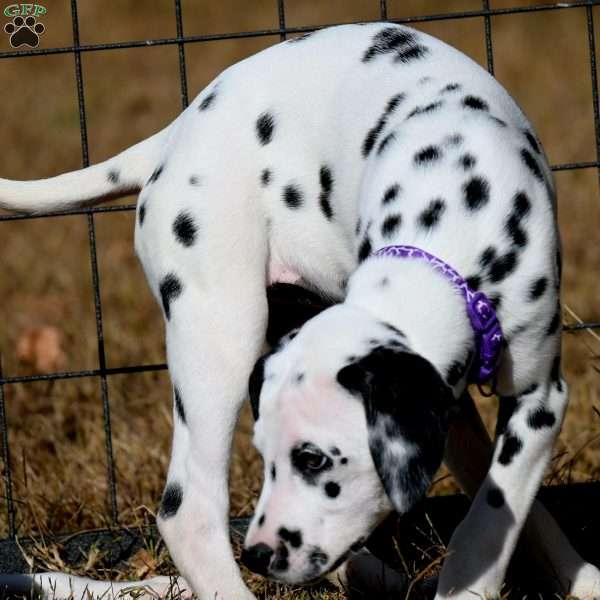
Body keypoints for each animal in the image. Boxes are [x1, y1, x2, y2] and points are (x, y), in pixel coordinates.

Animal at [1, 21, 600, 596]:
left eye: (312, 460)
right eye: (270, 456)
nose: (260, 556)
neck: (451, 222)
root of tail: (175, 134)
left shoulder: (534, 397)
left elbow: (495, 507)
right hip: (221, 336)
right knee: (187, 509)